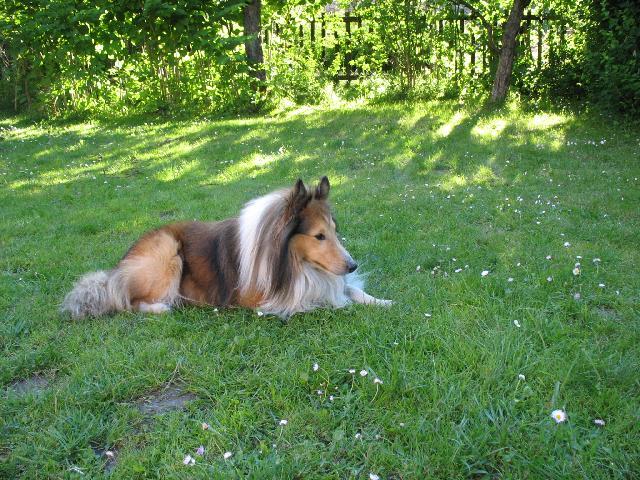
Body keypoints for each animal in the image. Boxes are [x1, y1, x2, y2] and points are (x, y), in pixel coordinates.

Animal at [61, 176, 390, 318]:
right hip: (167, 253)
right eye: (319, 236)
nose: (352, 265)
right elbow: (325, 298)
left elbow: (350, 290)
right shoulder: (266, 298)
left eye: (334, 231)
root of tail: (117, 269)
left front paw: (382, 301)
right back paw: (162, 306)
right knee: (126, 301)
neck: (290, 260)